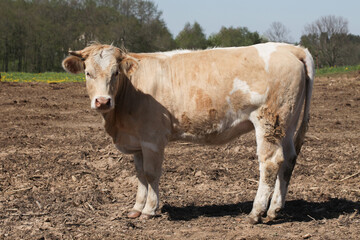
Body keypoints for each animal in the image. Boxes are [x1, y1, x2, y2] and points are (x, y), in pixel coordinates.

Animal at [62, 42, 316, 224]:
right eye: (87, 73)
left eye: (115, 73)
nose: (102, 101)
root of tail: (290, 47)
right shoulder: (137, 142)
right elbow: (140, 175)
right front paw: (136, 209)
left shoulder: (152, 140)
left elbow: (151, 174)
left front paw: (150, 210)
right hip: (286, 124)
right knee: (288, 160)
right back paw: (275, 209)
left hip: (268, 121)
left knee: (270, 163)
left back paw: (256, 213)